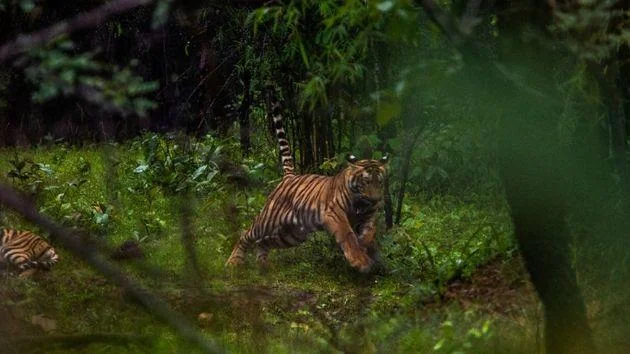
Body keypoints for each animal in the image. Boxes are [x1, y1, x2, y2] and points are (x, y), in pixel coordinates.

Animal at [225, 96, 388, 272]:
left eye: (380, 183)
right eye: (366, 182)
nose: (376, 200)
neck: (360, 204)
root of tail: (289, 176)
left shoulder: (368, 217)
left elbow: (370, 233)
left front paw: (364, 248)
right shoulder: (335, 213)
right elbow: (348, 235)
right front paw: (360, 260)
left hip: (292, 234)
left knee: (264, 241)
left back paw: (263, 265)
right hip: (268, 221)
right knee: (246, 234)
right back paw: (233, 262)